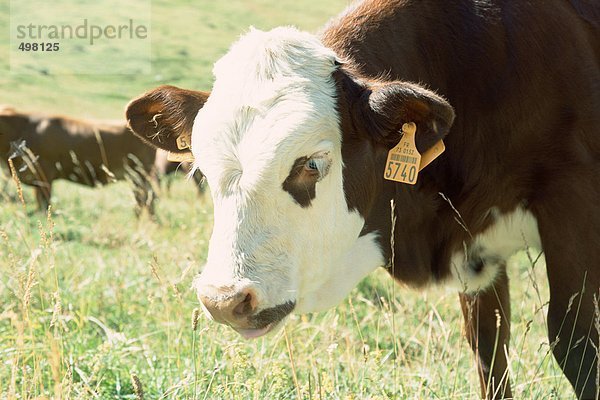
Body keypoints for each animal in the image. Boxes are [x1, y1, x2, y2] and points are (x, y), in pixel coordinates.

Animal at [126, 1, 600, 398]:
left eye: (310, 165)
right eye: (202, 172)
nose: (224, 300)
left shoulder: (573, 209)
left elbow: (577, 343)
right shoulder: (476, 255)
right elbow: (488, 348)